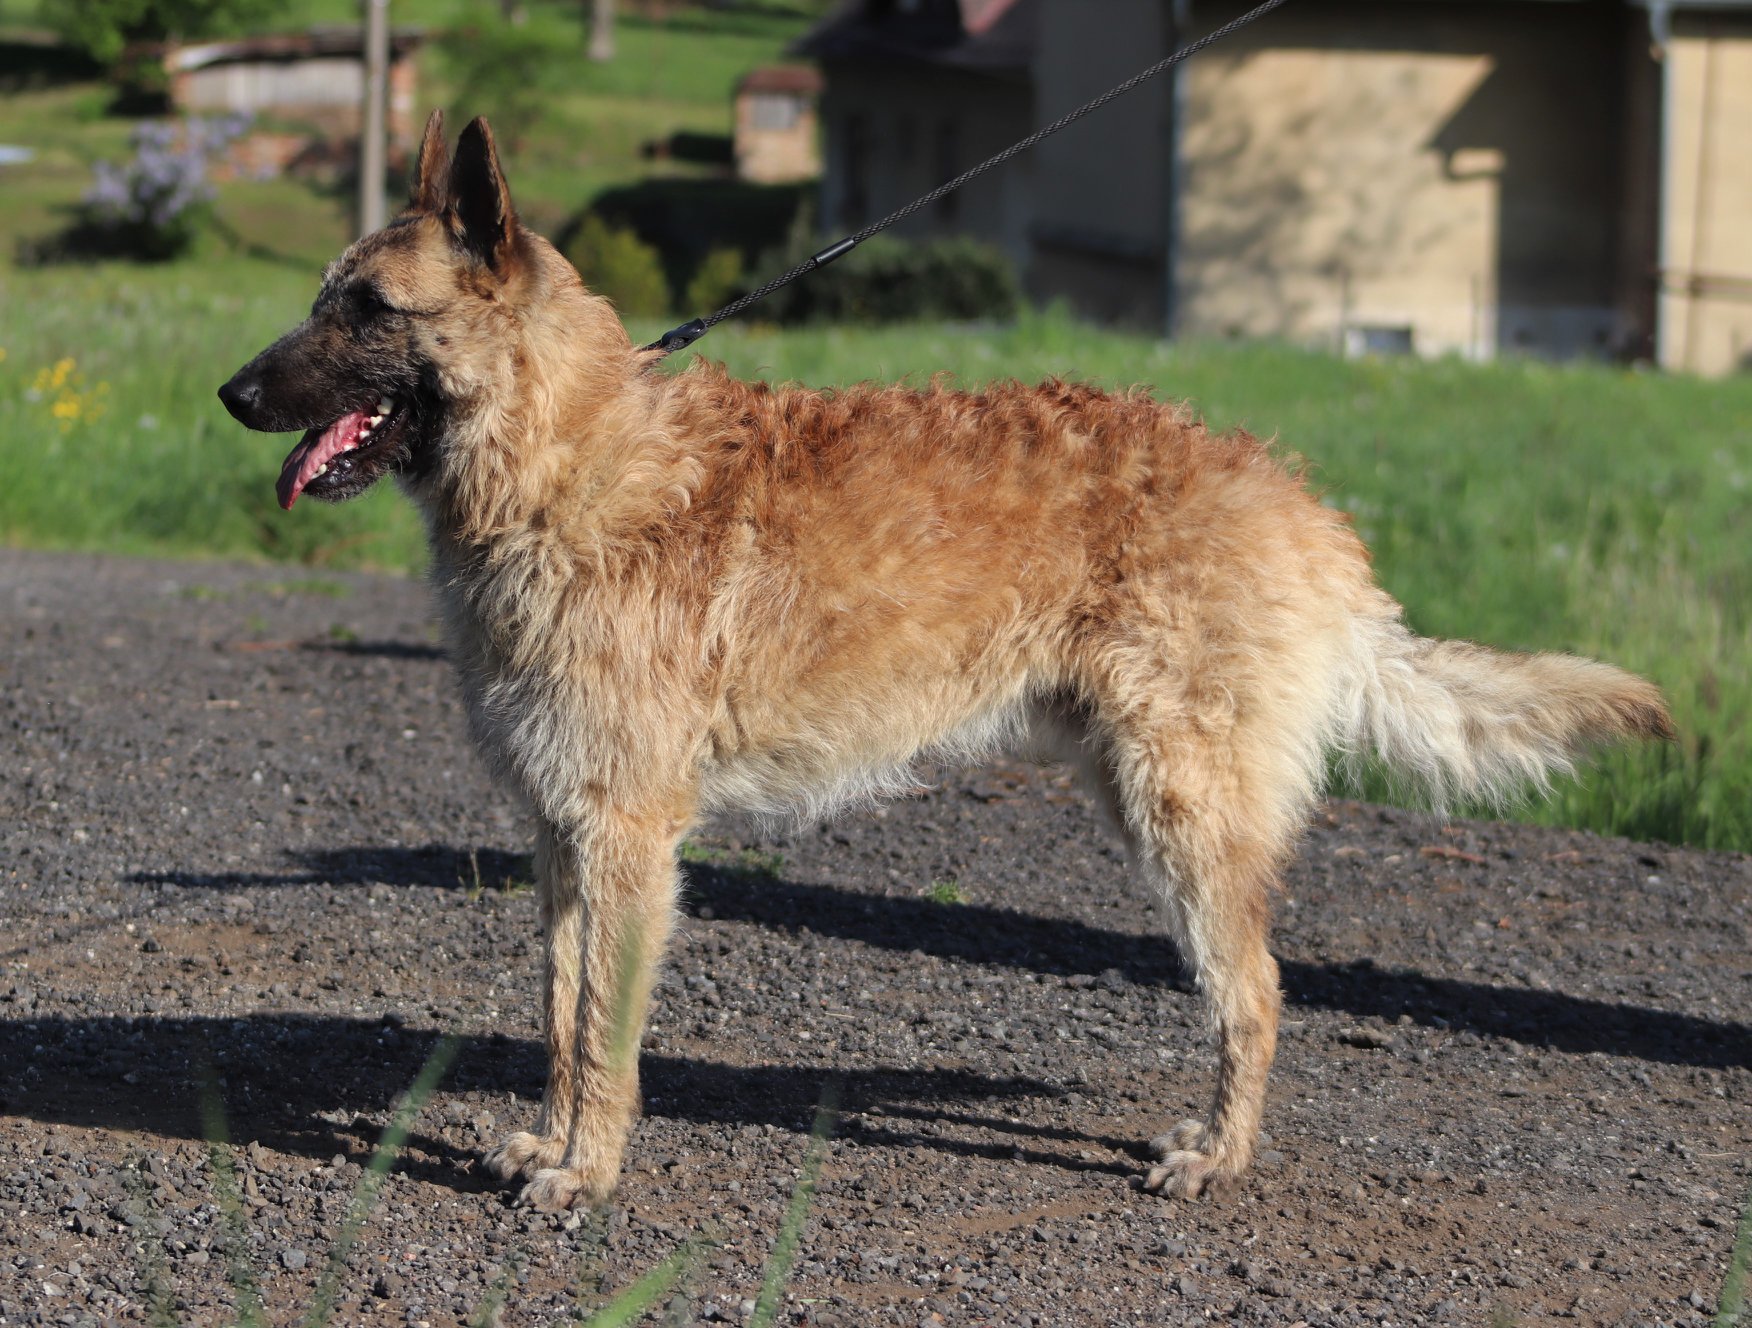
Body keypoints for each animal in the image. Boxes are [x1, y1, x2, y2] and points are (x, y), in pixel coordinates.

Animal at [219, 117, 1667, 1219]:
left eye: (365, 309)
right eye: (319, 300)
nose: (231, 396)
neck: (567, 457)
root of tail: (1304, 505)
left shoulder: (629, 842)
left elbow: (605, 1036)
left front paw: (589, 1175)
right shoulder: (565, 839)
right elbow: (564, 1019)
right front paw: (551, 1145)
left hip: (1185, 822)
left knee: (1255, 995)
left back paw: (1219, 1155)